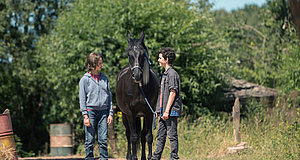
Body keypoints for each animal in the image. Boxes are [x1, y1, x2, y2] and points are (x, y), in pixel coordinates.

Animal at [116, 31, 161, 160]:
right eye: (129, 54)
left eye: (142, 54)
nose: (137, 75)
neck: (138, 89)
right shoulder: (130, 113)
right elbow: (133, 137)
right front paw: (134, 157)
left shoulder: (149, 113)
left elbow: (148, 136)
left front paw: (149, 157)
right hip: (125, 116)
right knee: (129, 134)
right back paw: (129, 156)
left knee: (142, 135)